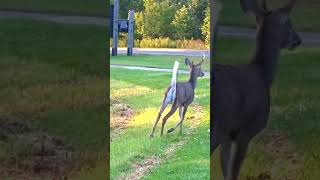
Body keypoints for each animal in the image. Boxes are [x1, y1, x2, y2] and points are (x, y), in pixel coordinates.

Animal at [211, 0, 302, 180]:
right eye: (289, 23)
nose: (298, 40)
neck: (262, 74)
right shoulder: (245, 131)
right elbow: (233, 173)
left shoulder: (228, 136)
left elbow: (225, 170)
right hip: (217, 124)